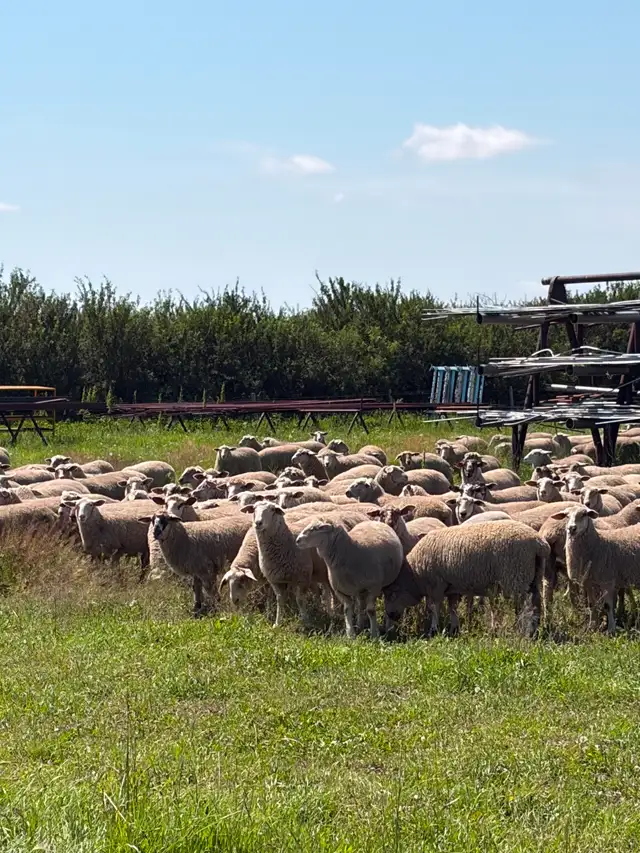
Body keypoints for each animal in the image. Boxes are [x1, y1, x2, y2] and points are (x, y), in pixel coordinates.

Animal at [383, 521, 548, 637]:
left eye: (391, 595)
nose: (390, 615)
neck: (415, 576)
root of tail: (539, 544)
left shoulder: (436, 584)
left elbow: (434, 608)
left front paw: (433, 630)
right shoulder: (451, 587)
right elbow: (452, 608)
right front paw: (454, 629)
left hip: (516, 576)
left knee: (524, 606)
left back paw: (521, 629)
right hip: (534, 577)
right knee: (536, 602)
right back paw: (535, 628)